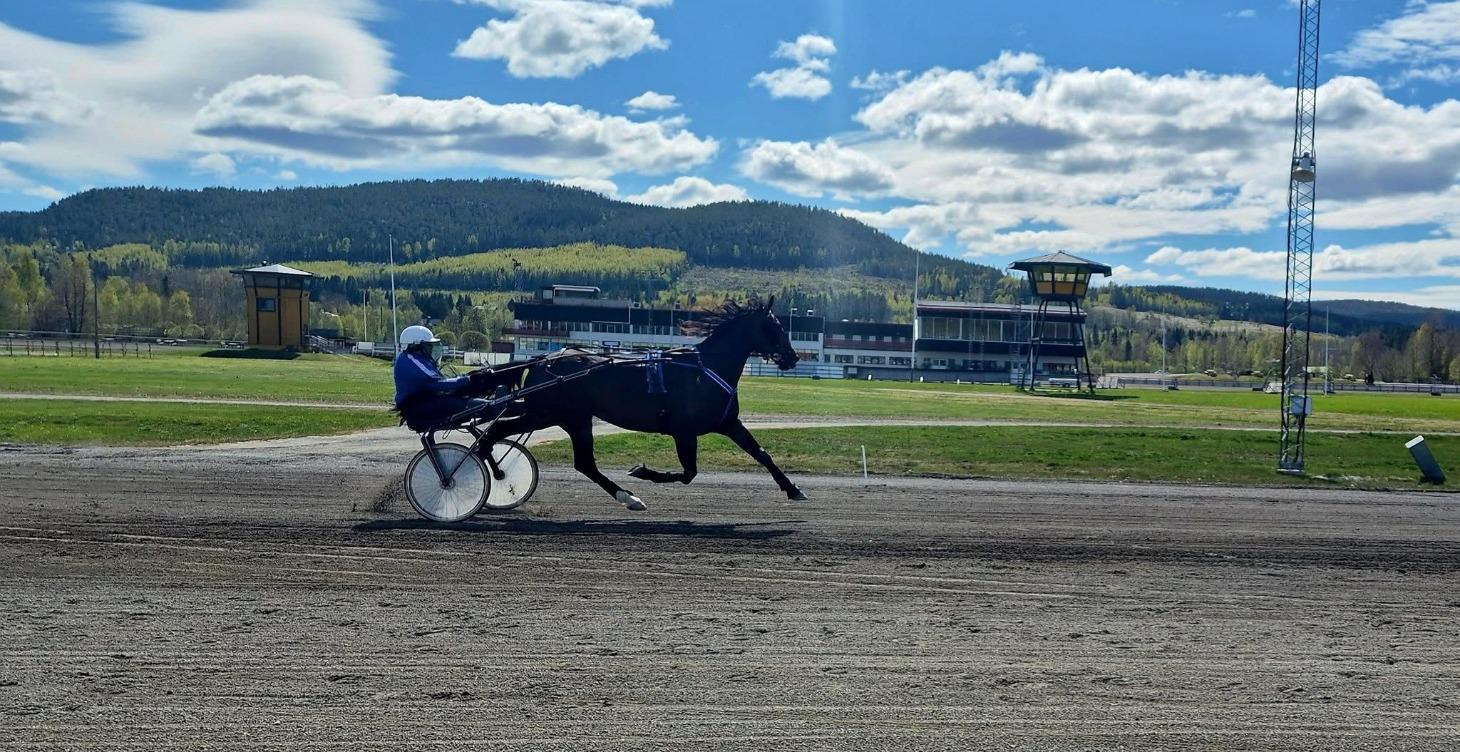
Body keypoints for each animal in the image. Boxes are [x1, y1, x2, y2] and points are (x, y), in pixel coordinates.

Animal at [481, 296, 807, 511]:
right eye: (776, 327)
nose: (793, 357)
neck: (704, 370)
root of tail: (542, 360)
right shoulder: (684, 431)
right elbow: (689, 473)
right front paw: (642, 471)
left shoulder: (727, 423)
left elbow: (762, 454)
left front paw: (793, 489)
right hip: (556, 415)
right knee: (498, 435)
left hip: (560, 416)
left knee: (578, 461)